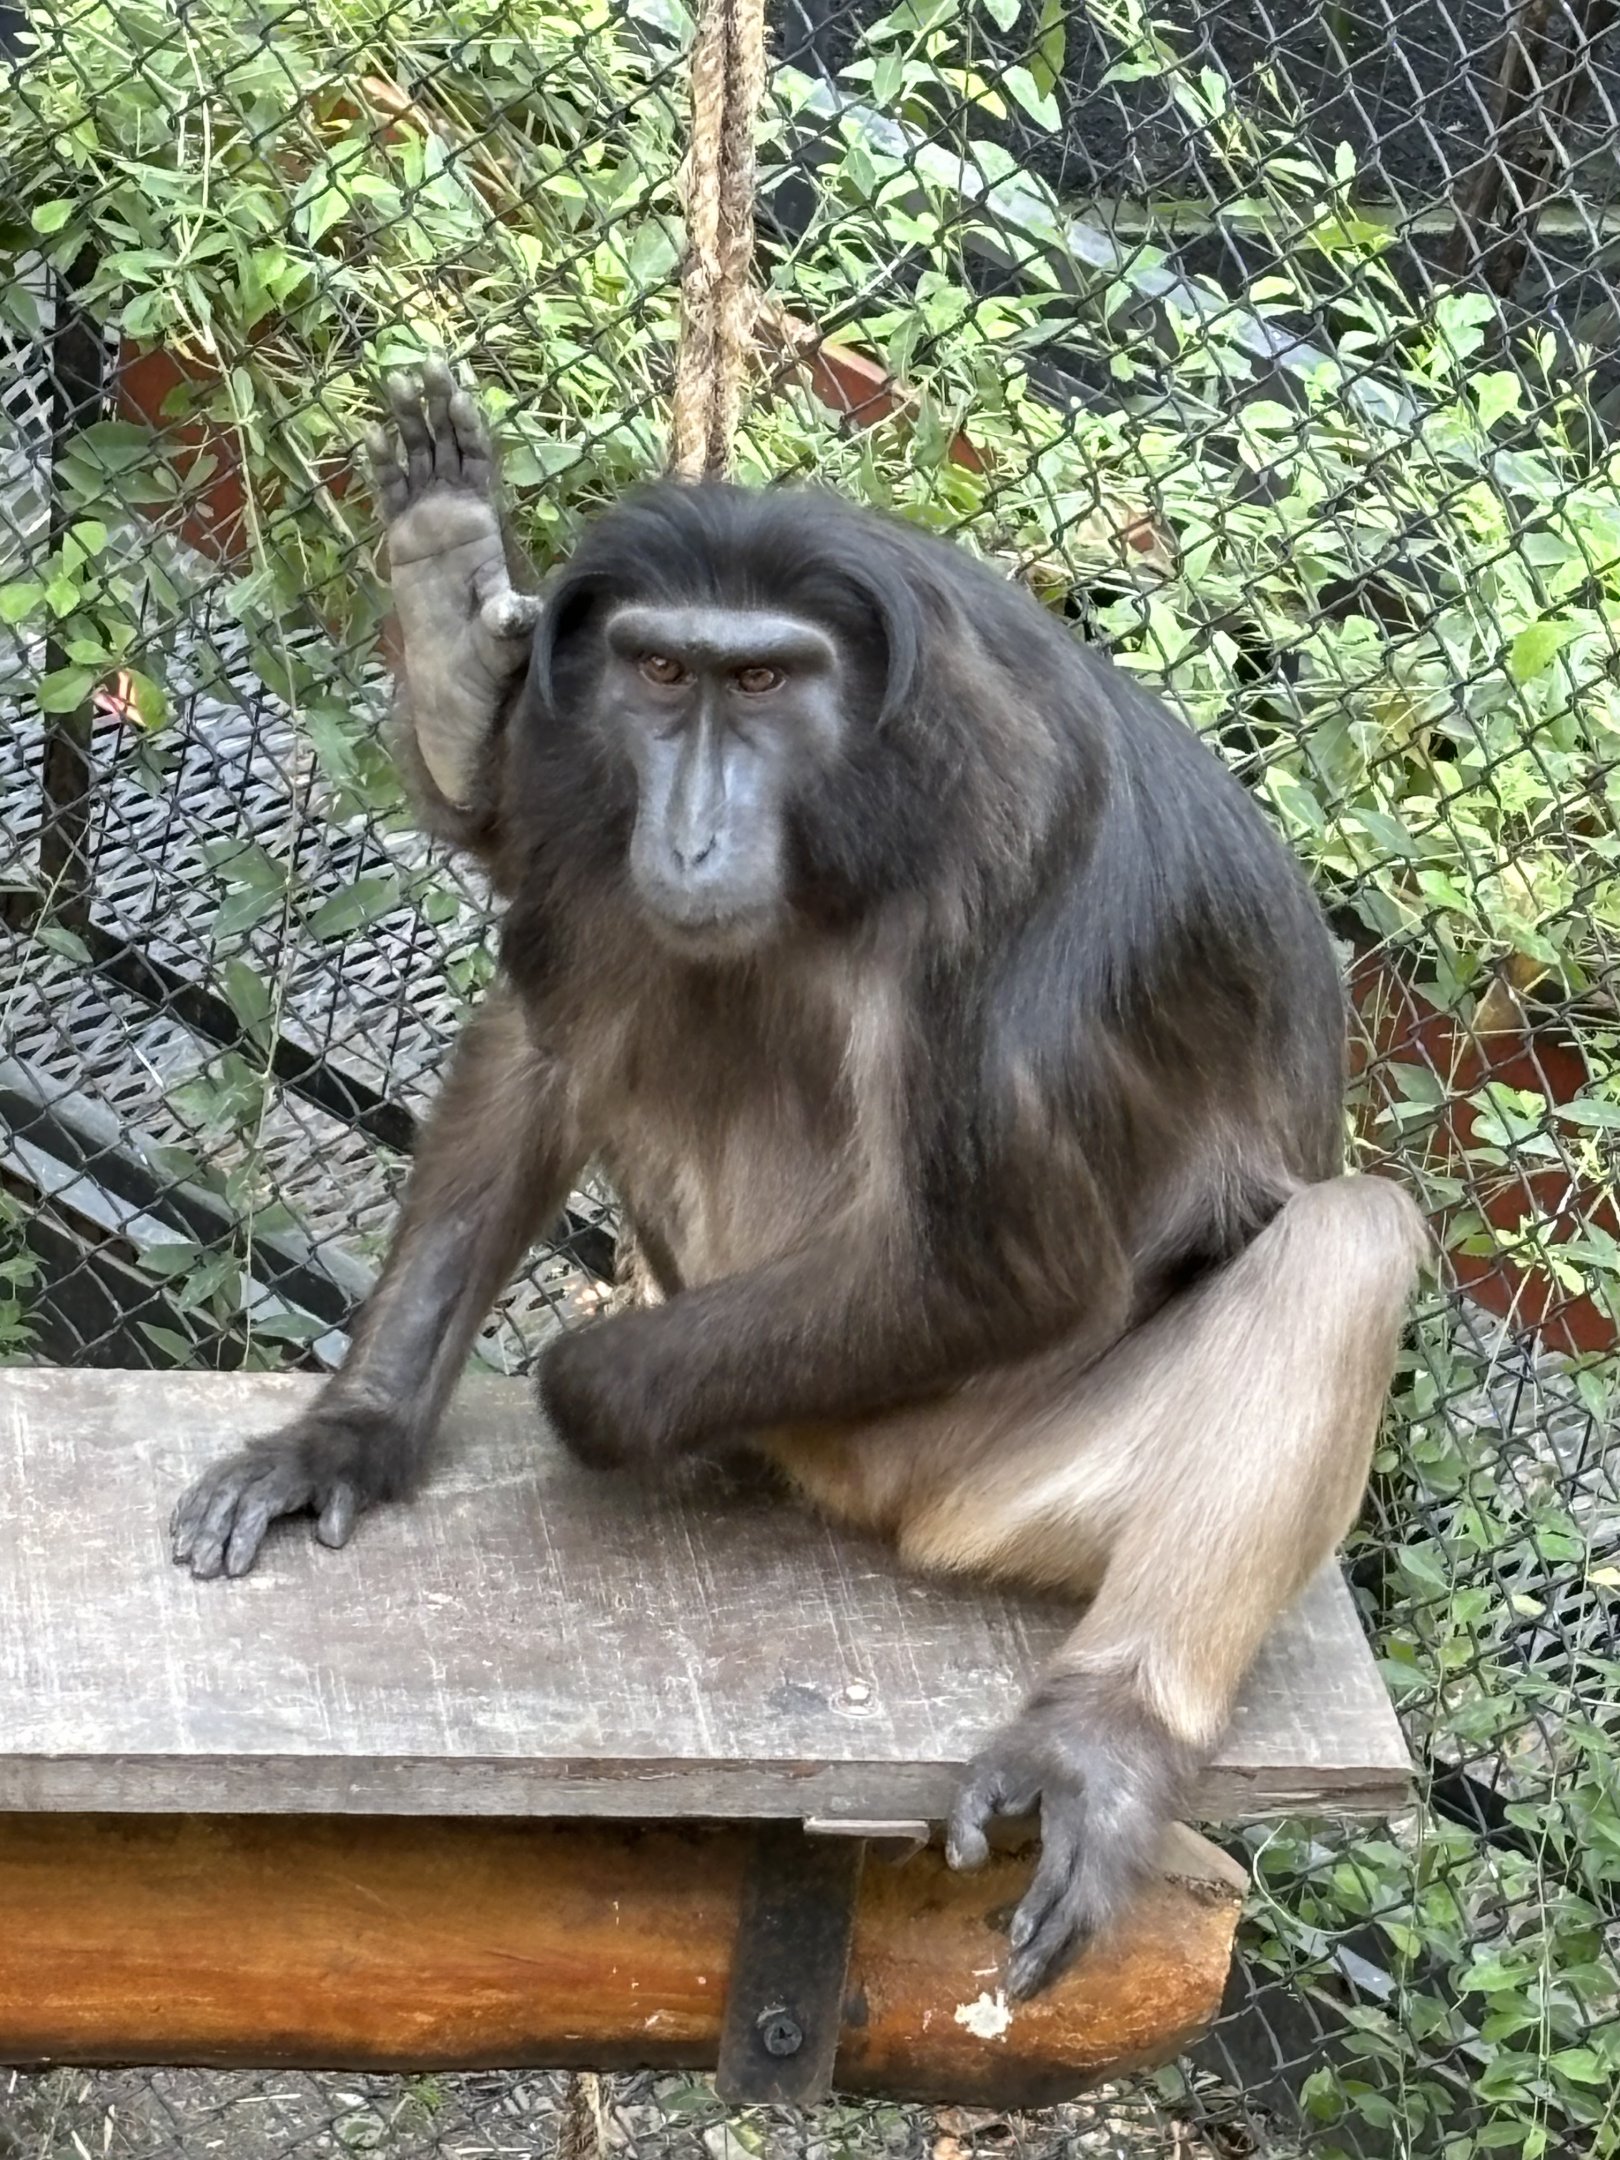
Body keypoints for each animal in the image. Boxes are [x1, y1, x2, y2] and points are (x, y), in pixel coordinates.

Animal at [171, 359, 1426, 2002]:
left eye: (766, 688)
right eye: (662, 676)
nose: (697, 824)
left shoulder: (1015, 880)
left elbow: (1012, 1272)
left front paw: (593, 1387)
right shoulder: (591, 796)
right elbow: (547, 1032)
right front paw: (356, 1433)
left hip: (977, 1473)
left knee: (1350, 1235)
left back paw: (1103, 1736)